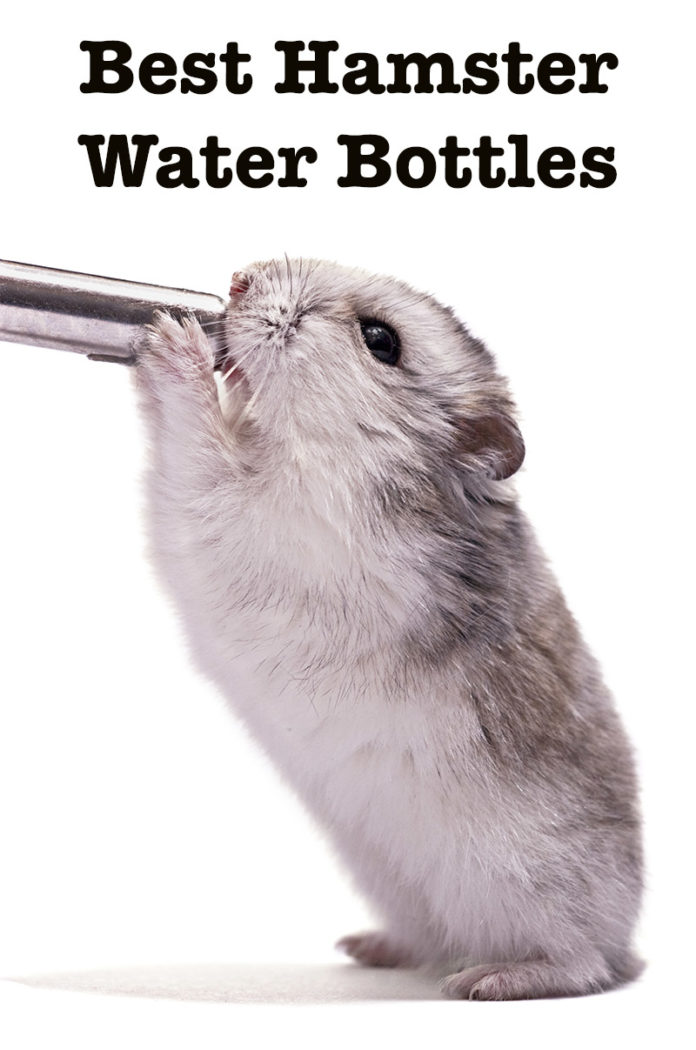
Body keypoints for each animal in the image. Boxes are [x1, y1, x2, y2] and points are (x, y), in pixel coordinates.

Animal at [134, 258, 643, 1001]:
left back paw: (489, 979)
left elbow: (201, 453)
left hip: (527, 885)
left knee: (583, 963)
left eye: (381, 340)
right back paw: (368, 947)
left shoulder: (259, 521)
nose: (238, 280)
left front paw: (171, 342)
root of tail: (628, 939)